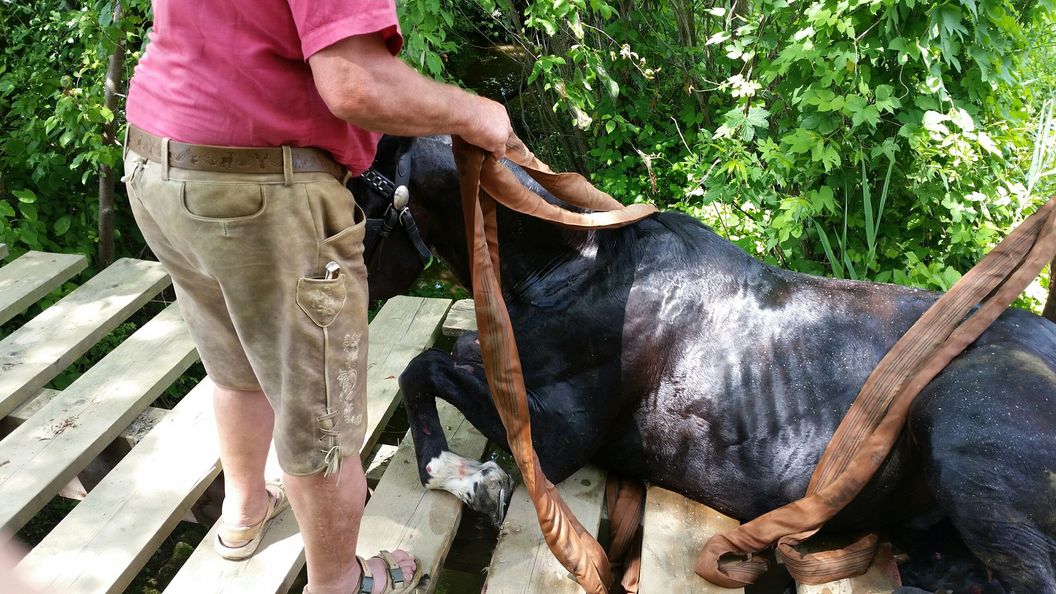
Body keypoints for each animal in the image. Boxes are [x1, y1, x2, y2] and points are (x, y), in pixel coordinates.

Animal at [348, 135, 1056, 593]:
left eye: (357, 202)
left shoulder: (554, 439)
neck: (574, 269)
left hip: (959, 432)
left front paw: (466, 477)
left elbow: (422, 366)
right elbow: (446, 356)